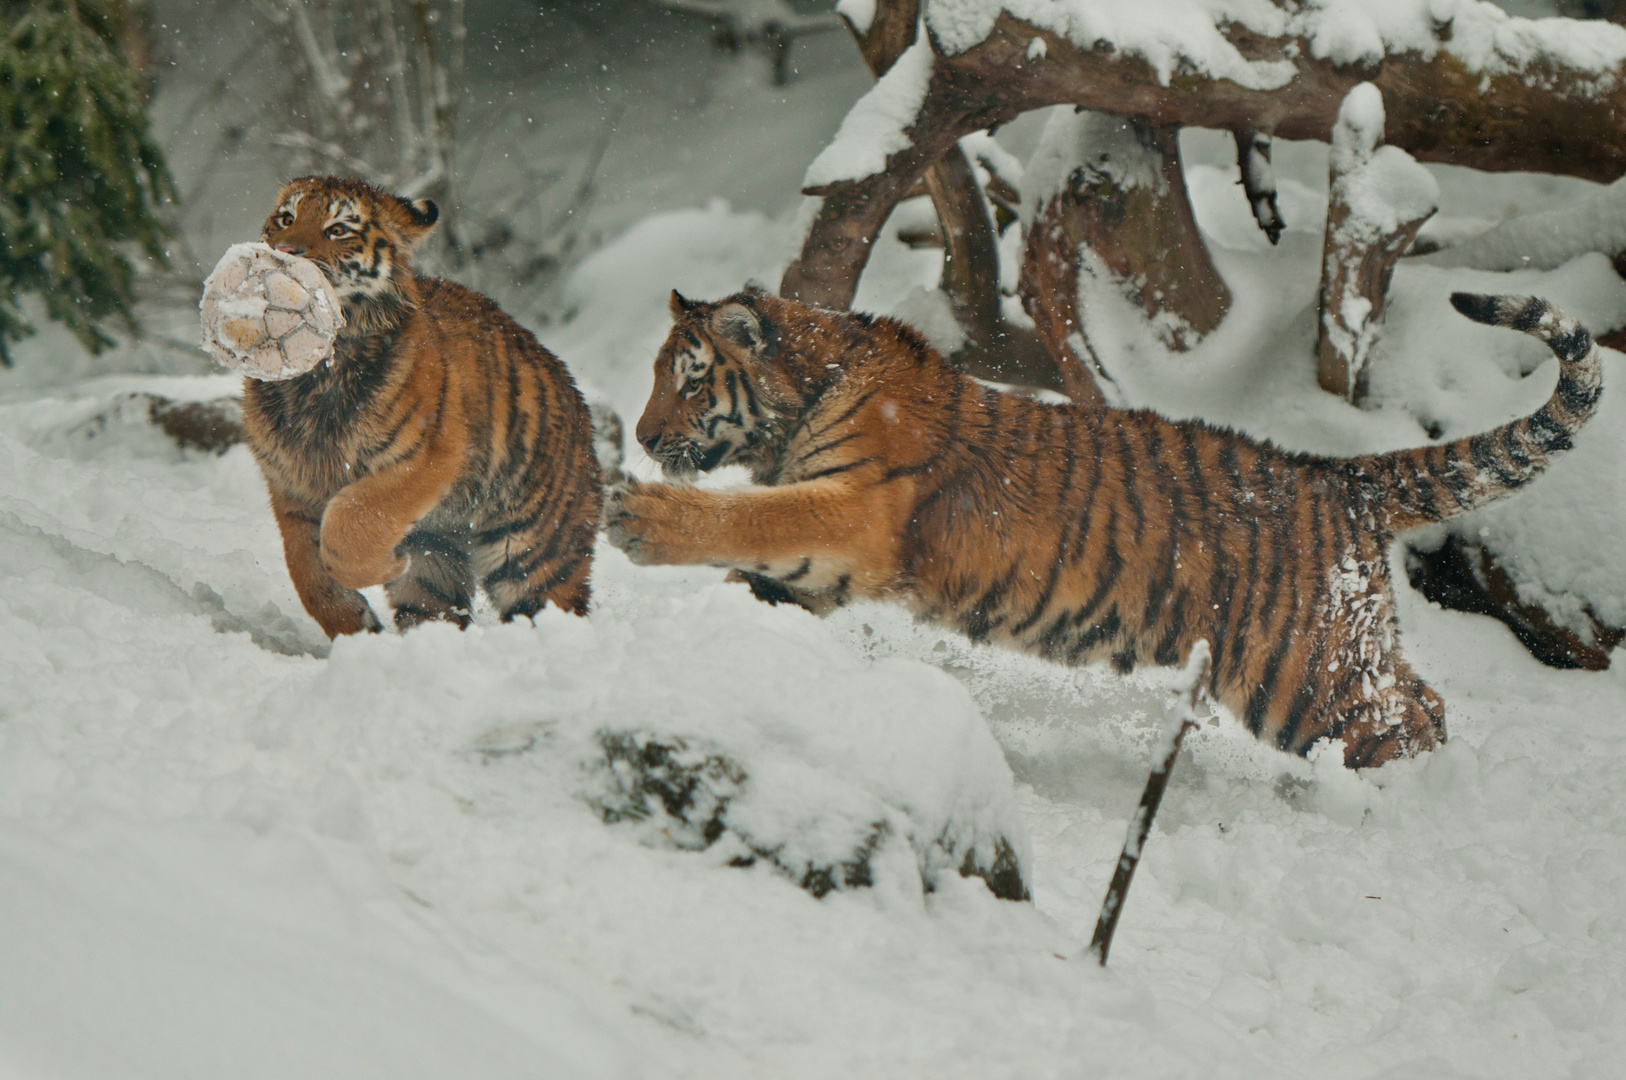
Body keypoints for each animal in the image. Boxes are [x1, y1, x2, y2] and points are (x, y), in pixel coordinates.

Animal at [250, 173, 608, 637]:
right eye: (285, 219)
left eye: (338, 230)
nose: (284, 252)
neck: (315, 372)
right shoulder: (290, 485)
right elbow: (308, 572)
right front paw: (355, 627)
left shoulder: (425, 458)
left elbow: (350, 523)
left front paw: (386, 565)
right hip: (436, 560)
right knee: (435, 608)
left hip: (535, 554)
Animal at [608, 286, 1599, 767]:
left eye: (688, 379)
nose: (645, 437)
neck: (807, 392)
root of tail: (1341, 477)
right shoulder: (828, 554)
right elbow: (763, 569)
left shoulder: (857, 510)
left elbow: (749, 516)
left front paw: (636, 513)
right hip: (1334, 654)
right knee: (1423, 699)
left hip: (1301, 672)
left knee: (1405, 724)